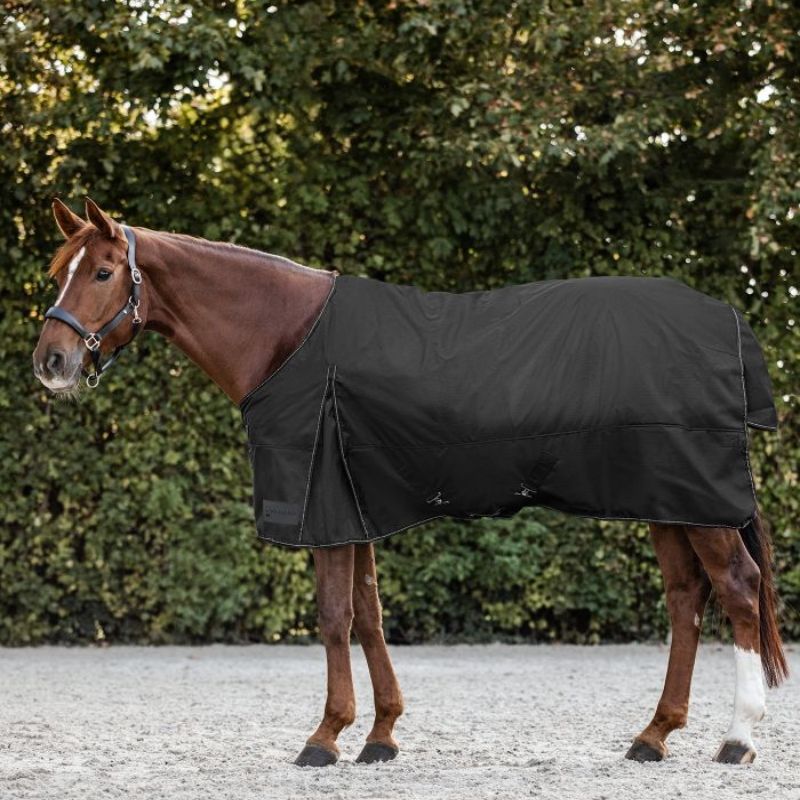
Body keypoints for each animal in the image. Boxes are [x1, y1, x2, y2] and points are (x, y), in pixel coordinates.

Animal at [32, 198, 787, 767]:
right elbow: (368, 615)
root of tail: (726, 318)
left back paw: (737, 738)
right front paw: (382, 733)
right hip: (669, 501)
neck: (286, 336)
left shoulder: (325, 507)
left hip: (700, 503)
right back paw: (654, 735)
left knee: (738, 589)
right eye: (57, 271)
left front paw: (325, 736)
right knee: (687, 598)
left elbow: (334, 617)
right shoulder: (352, 504)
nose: (51, 361)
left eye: (103, 271)